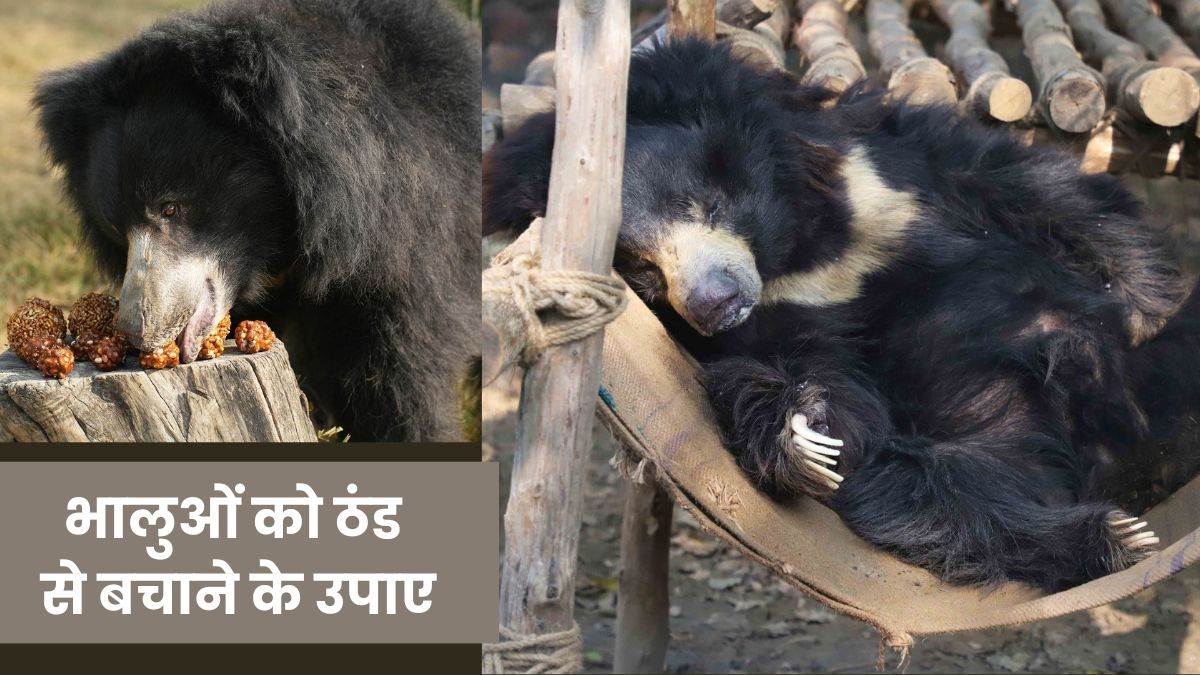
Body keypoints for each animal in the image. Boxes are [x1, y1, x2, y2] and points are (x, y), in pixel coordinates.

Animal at [484, 38, 1200, 591]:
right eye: (641, 269)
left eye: (702, 205)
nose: (715, 304)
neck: (794, 252)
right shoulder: (776, 321)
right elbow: (815, 393)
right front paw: (807, 435)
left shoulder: (878, 168)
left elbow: (1019, 180)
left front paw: (1145, 300)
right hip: (977, 460)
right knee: (925, 498)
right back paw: (1116, 537)